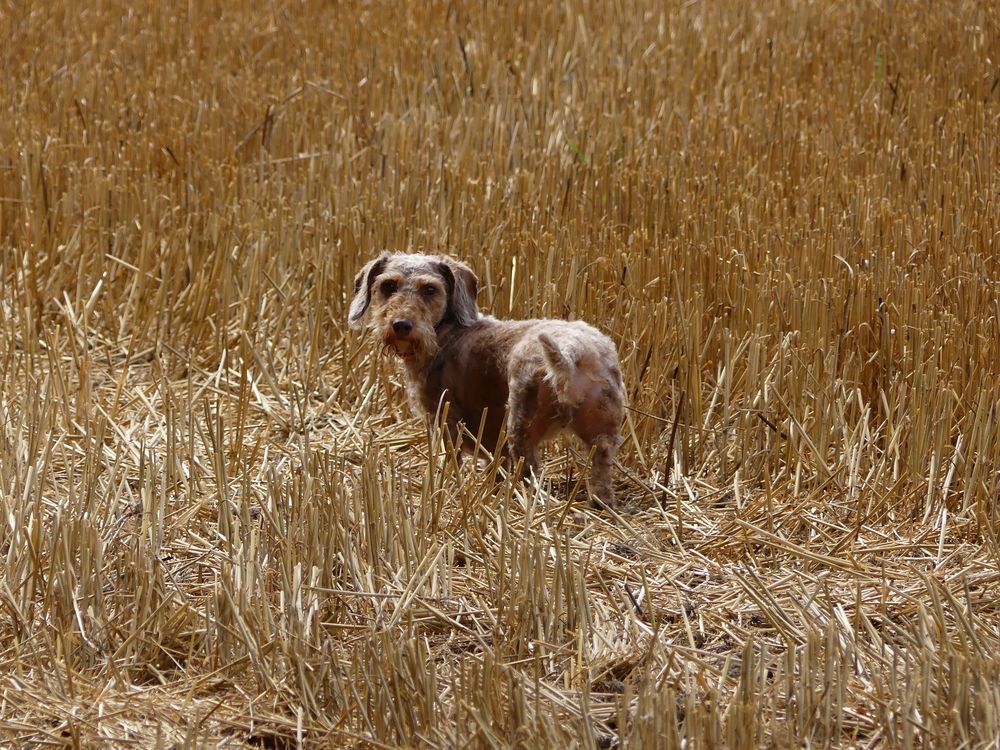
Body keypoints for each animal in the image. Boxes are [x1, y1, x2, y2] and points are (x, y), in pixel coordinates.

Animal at [348, 254, 620, 512]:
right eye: (388, 285)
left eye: (430, 289)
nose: (401, 325)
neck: (446, 331)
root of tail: (572, 351)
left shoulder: (445, 421)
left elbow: (451, 460)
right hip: (601, 432)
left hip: (521, 426)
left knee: (529, 473)